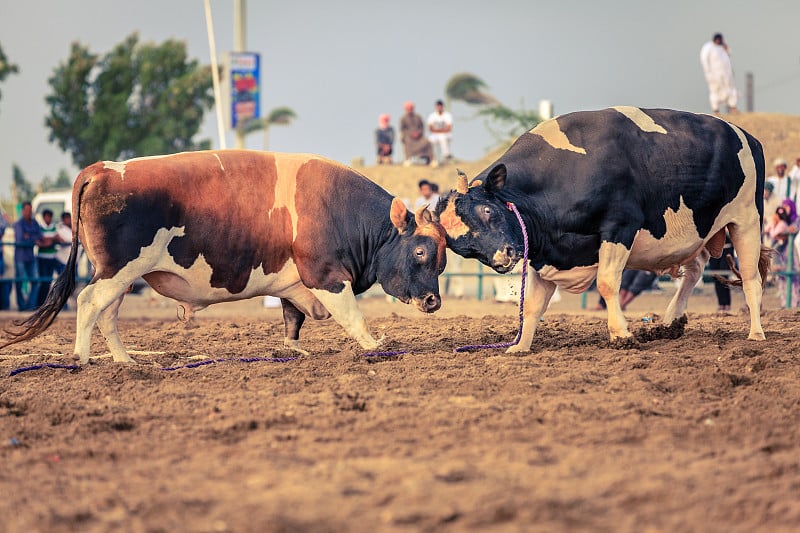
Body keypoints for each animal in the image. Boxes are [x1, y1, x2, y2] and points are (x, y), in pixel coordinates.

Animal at [3, 152, 446, 364]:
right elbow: (353, 317)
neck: (341, 209)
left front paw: (291, 351)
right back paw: (81, 358)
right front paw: (375, 345)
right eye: (421, 252)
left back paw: (126, 361)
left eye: (442, 261)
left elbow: (292, 321)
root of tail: (102, 169)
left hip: (121, 276)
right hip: (116, 270)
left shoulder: (293, 283)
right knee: (88, 302)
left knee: (106, 313)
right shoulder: (325, 276)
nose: (433, 301)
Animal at [434, 106, 772, 352]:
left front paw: (621, 334)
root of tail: (747, 136)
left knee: (751, 279)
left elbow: (608, 283)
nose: (503, 257)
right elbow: (531, 305)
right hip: (700, 233)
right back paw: (671, 320)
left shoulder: (620, 226)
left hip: (746, 222)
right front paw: (519, 348)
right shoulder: (542, 252)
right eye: (465, 247)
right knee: (695, 271)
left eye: (488, 210)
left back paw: (756, 333)